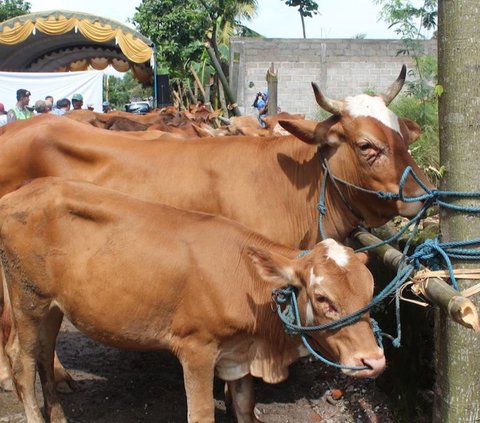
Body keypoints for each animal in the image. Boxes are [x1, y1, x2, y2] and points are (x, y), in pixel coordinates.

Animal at [0, 178, 384, 423]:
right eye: (322, 298)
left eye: (370, 292)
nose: (374, 360)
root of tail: (21, 193)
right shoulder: (196, 348)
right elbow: (200, 414)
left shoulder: (238, 354)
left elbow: (245, 407)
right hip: (27, 301)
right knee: (22, 360)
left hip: (52, 307)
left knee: (44, 355)